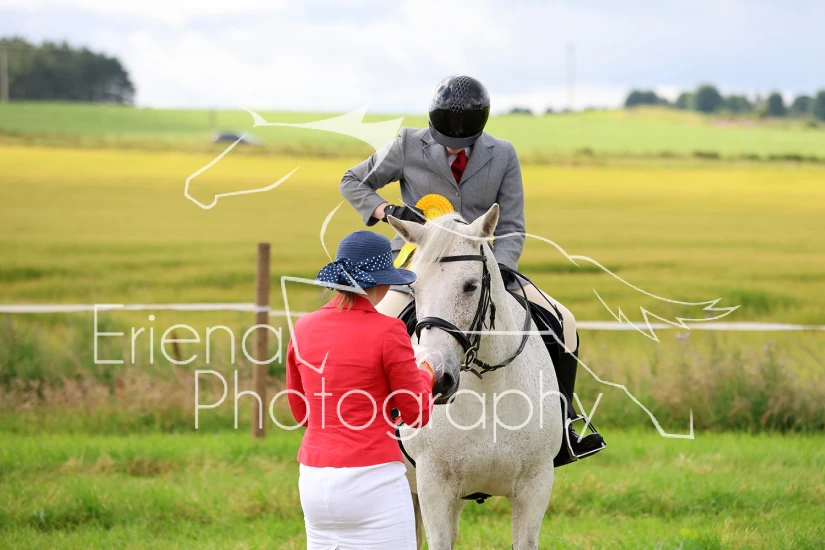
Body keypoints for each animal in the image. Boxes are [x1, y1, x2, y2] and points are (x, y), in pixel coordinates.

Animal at [387, 204, 564, 550]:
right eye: (413, 288)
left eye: (470, 285)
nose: (438, 379)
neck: (489, 393)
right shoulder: (434, 486)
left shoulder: (535, 486)